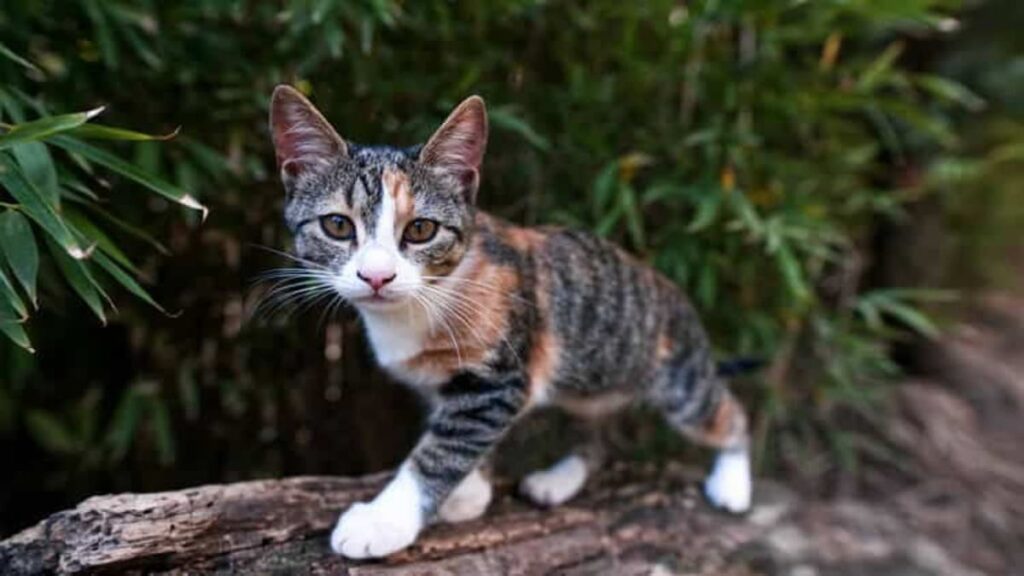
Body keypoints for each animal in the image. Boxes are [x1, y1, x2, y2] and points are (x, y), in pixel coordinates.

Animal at [270, 85, 753, 557]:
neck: (424, 303)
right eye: (337, 225)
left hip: (677, 377)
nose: (376, 276)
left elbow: (442, 448)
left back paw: (733, 482)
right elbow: (453, 432)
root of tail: (673, 290)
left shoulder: (499, 377)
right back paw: (561, 478)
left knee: (723, 411)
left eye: (422, 230)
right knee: (599, 433)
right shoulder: (442, 382)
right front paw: (470, 491)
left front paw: (384, 520)